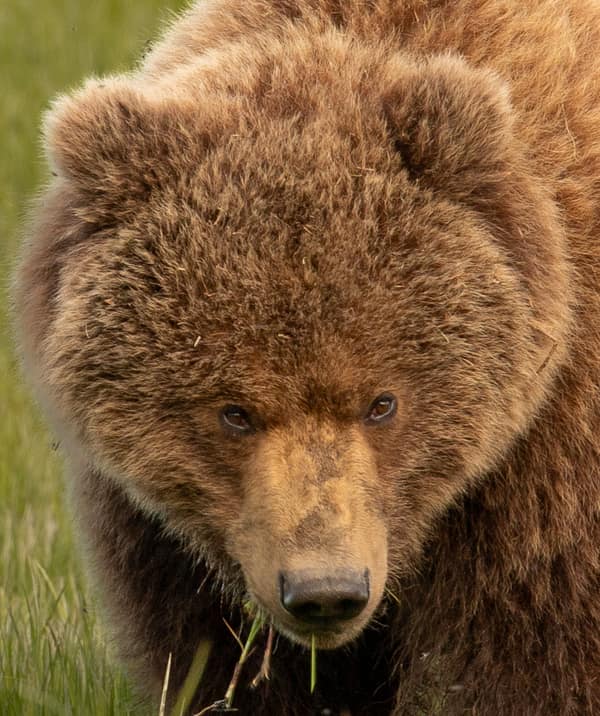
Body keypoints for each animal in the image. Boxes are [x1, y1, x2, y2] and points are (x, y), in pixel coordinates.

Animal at [13, 0, 600, 713]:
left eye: (382, 403)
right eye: (234, 412)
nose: (326, 592)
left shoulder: (542, 483)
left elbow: (524, 665)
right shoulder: (175, 539)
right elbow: (223, 661)